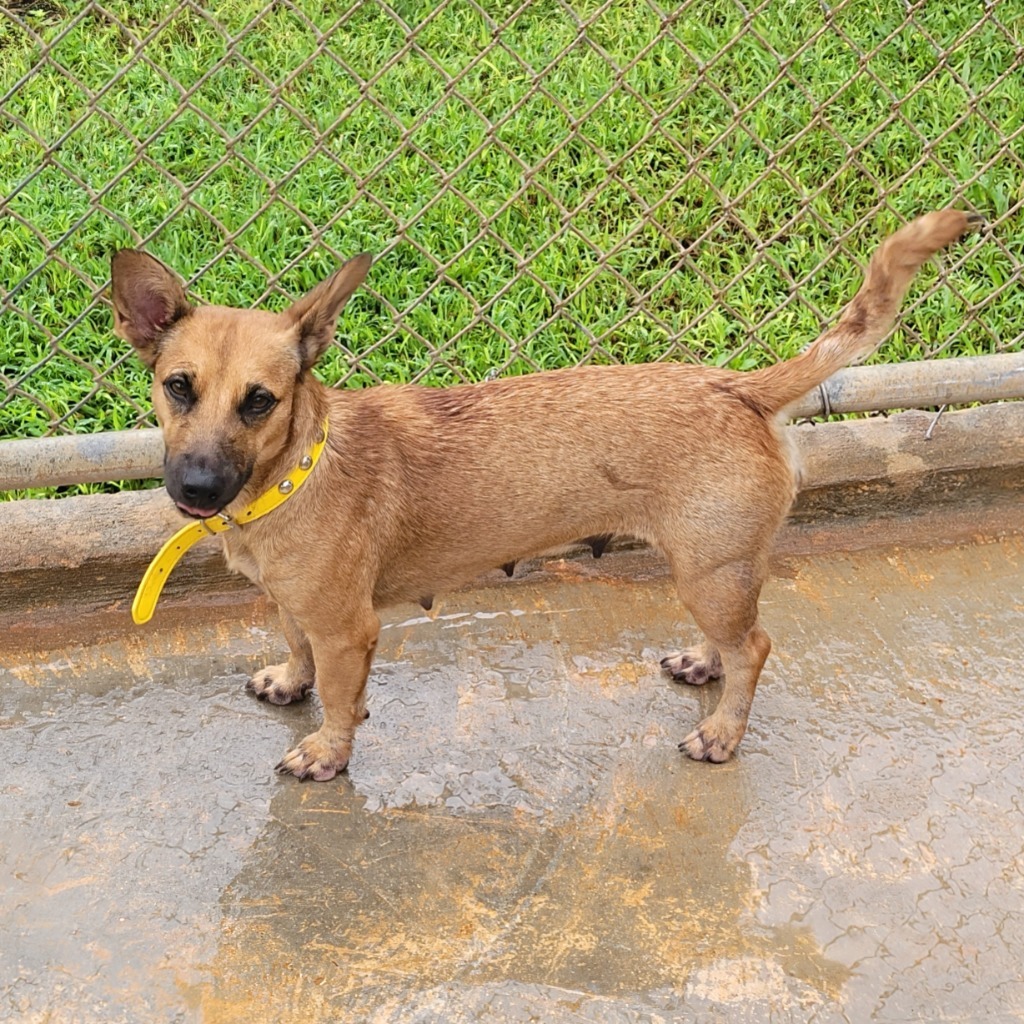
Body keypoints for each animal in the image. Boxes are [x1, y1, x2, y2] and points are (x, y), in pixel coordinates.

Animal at [110, 209, 974, 782]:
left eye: (260, 401)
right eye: (178, 387)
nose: (194, 487)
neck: (296, 468)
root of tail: (740, 388)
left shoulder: (348, 630)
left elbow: (340, 697)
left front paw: (328, 750)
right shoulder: (296, 607)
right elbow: (296, 651)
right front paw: (289, 682)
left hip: (709, 572)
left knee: (755, 648)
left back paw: (723, 735)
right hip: (715, 574)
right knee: (733, 643)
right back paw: (703, 666)